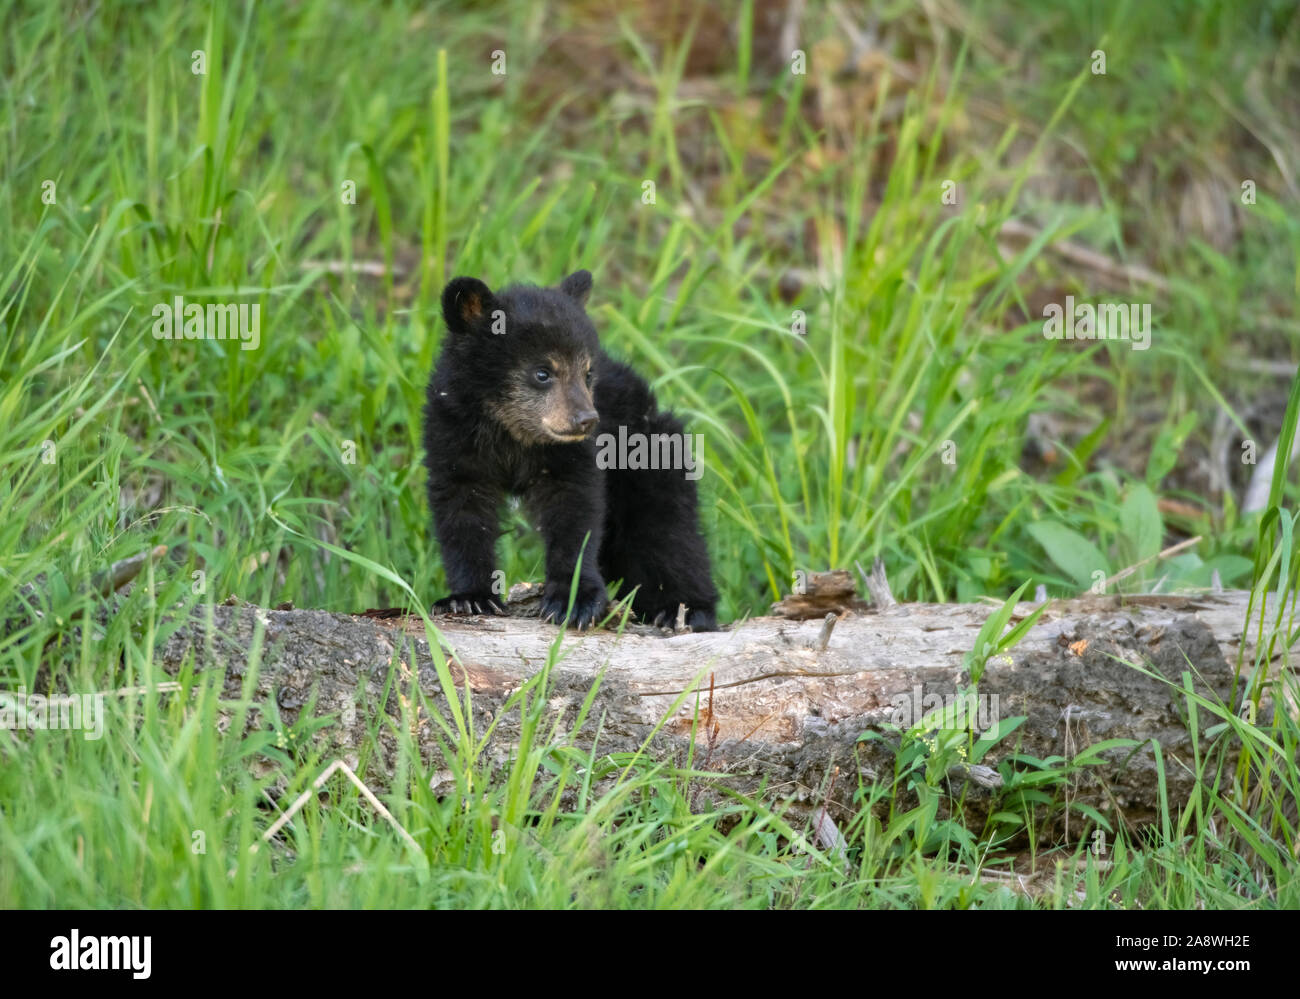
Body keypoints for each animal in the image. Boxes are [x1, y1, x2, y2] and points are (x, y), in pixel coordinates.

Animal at [422, 269, 719, 631]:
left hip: (648, 453)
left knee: (668, 531)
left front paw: (574, 600)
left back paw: (686, 609)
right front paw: (470, 597)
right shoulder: (452, 434)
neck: (514, 434)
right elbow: (461, 511)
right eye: (542, 372)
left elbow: (576, 511)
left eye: (588, 373)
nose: (586, 419)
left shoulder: (574, 456)